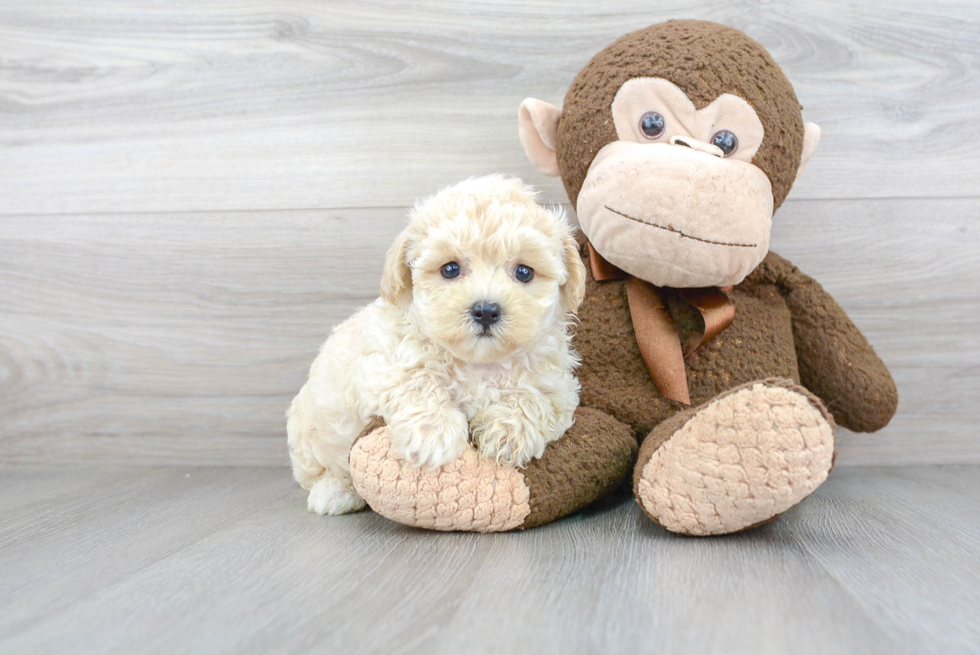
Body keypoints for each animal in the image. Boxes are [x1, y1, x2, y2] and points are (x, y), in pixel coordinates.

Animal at [288, 177, 584, 516]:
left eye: (524, 272)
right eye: (450, 269)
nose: (486, 310)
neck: (478, 364)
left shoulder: (558, 385)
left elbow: (536, 398)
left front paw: (506, 433)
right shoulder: (383, 361)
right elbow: (416, 379)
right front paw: (434, 435)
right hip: (310, 435)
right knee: (326, 470)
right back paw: (335, 493)